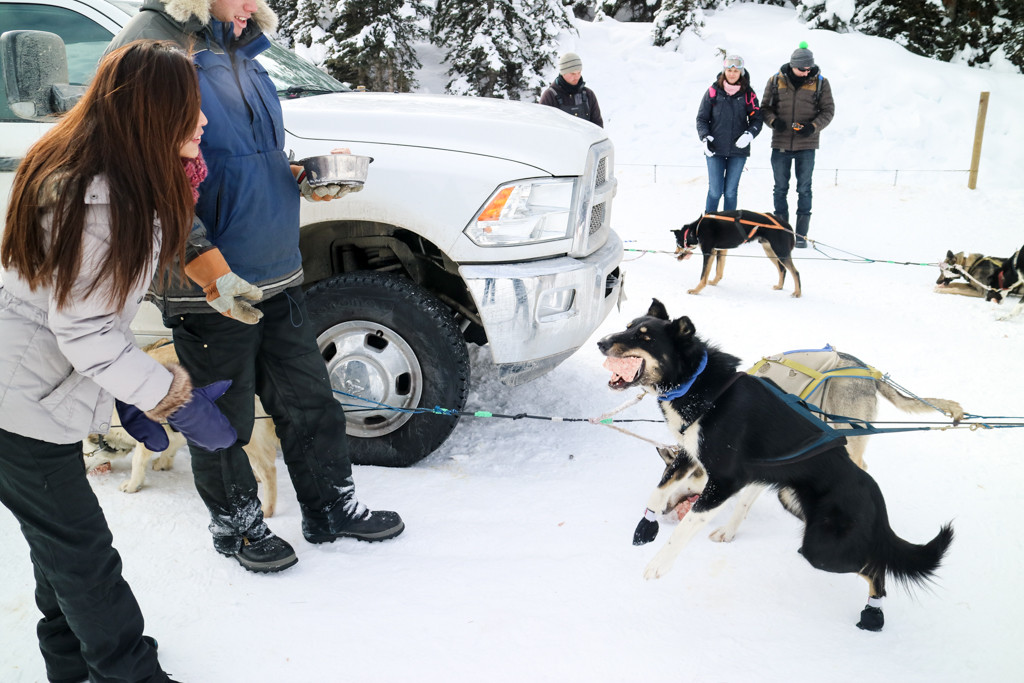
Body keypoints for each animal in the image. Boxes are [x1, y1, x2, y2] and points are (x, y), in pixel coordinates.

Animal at [598, 301, 954, 634]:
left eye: (645, 337)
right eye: (628, 326)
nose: (601, 343)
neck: (700, 387)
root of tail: (875, 496)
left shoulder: (726, 479)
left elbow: (687, 525)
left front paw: (659, 563)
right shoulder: (693, 454)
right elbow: (659, 491)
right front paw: (647, 526)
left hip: (823, 550)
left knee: (875, 566)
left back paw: (873, 614)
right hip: (797, 508)